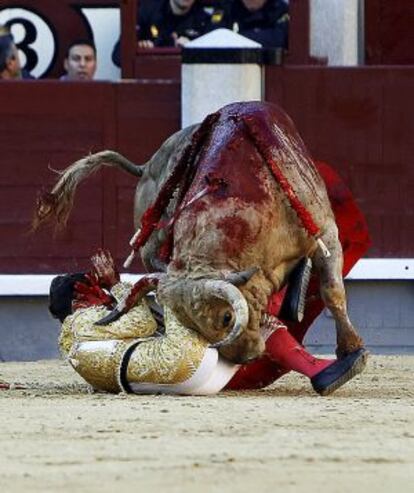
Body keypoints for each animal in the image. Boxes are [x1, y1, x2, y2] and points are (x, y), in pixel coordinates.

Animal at [35, 101, 366, 362]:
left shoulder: (327, 235)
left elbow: (332, 291)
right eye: (195, 328)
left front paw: (352, 350)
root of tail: (147, 165)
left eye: (226, 316)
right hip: (150, 241)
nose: (242, 357)